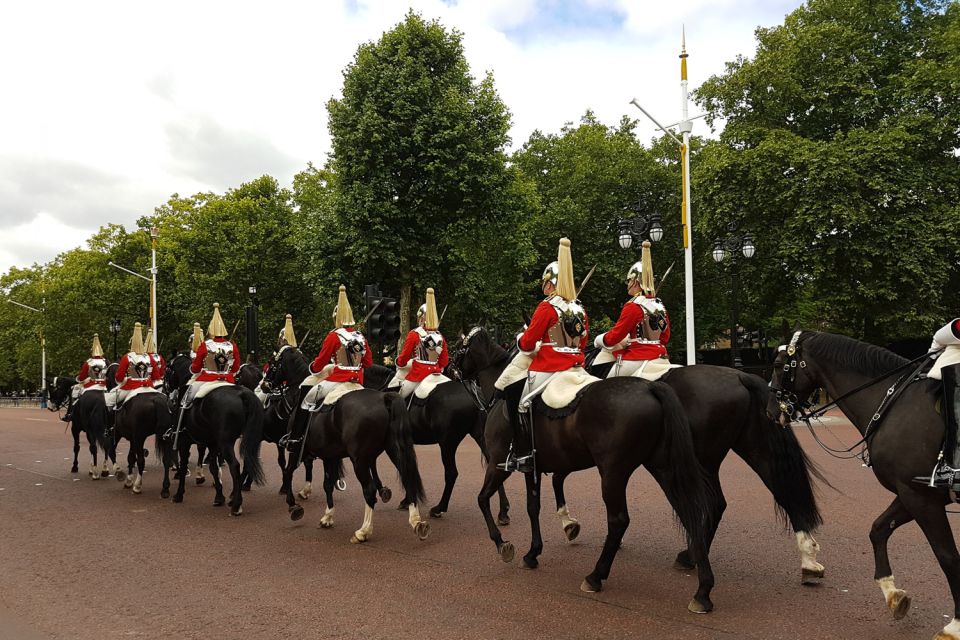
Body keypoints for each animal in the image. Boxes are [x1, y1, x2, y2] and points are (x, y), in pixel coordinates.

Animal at [164, 352, 262, 512]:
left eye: (167, 370)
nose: (167, 393)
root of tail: (242, 394)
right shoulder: (212, 443)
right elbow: (213, 467)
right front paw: (219, 496)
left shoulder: (184, 441)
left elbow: (184, 465)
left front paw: (179, 494)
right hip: (246, 439)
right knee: (246, 461)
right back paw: (234, 497)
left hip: (226, 442)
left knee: (235, 465)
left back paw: (236, 504)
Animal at [274, 344, 432, 544]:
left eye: (273, 364)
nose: (264, 384)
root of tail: (384, 398)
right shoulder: (330, 455)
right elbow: (327, 483)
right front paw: (327, 517)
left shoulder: (297, 449)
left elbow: (289, 472)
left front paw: (294, 506)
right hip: (394, 449)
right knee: (407, 478)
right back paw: (417, 522)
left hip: (359, 460)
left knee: (369, 491)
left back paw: (363, 531)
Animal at [456, 330, 712, 608]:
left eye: (459, 347)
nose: (448, 369)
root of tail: (651, 386)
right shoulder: (533, 466)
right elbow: (533, 506)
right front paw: (534, 552)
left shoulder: (499, 464)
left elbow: (482, 499)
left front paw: (502, 543)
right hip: (661, 466)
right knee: (688, 511)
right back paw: (703, 588)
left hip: (613, 473)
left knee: (619, 520)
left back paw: (595, 576)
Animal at [768, 332, 960, 636]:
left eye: (777, 364)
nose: (770, 410)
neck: (893, 401)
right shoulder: (911, 493)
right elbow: (879, 530)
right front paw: (894, 595)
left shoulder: (921, 497)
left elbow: (947, 556)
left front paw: (955, 625)